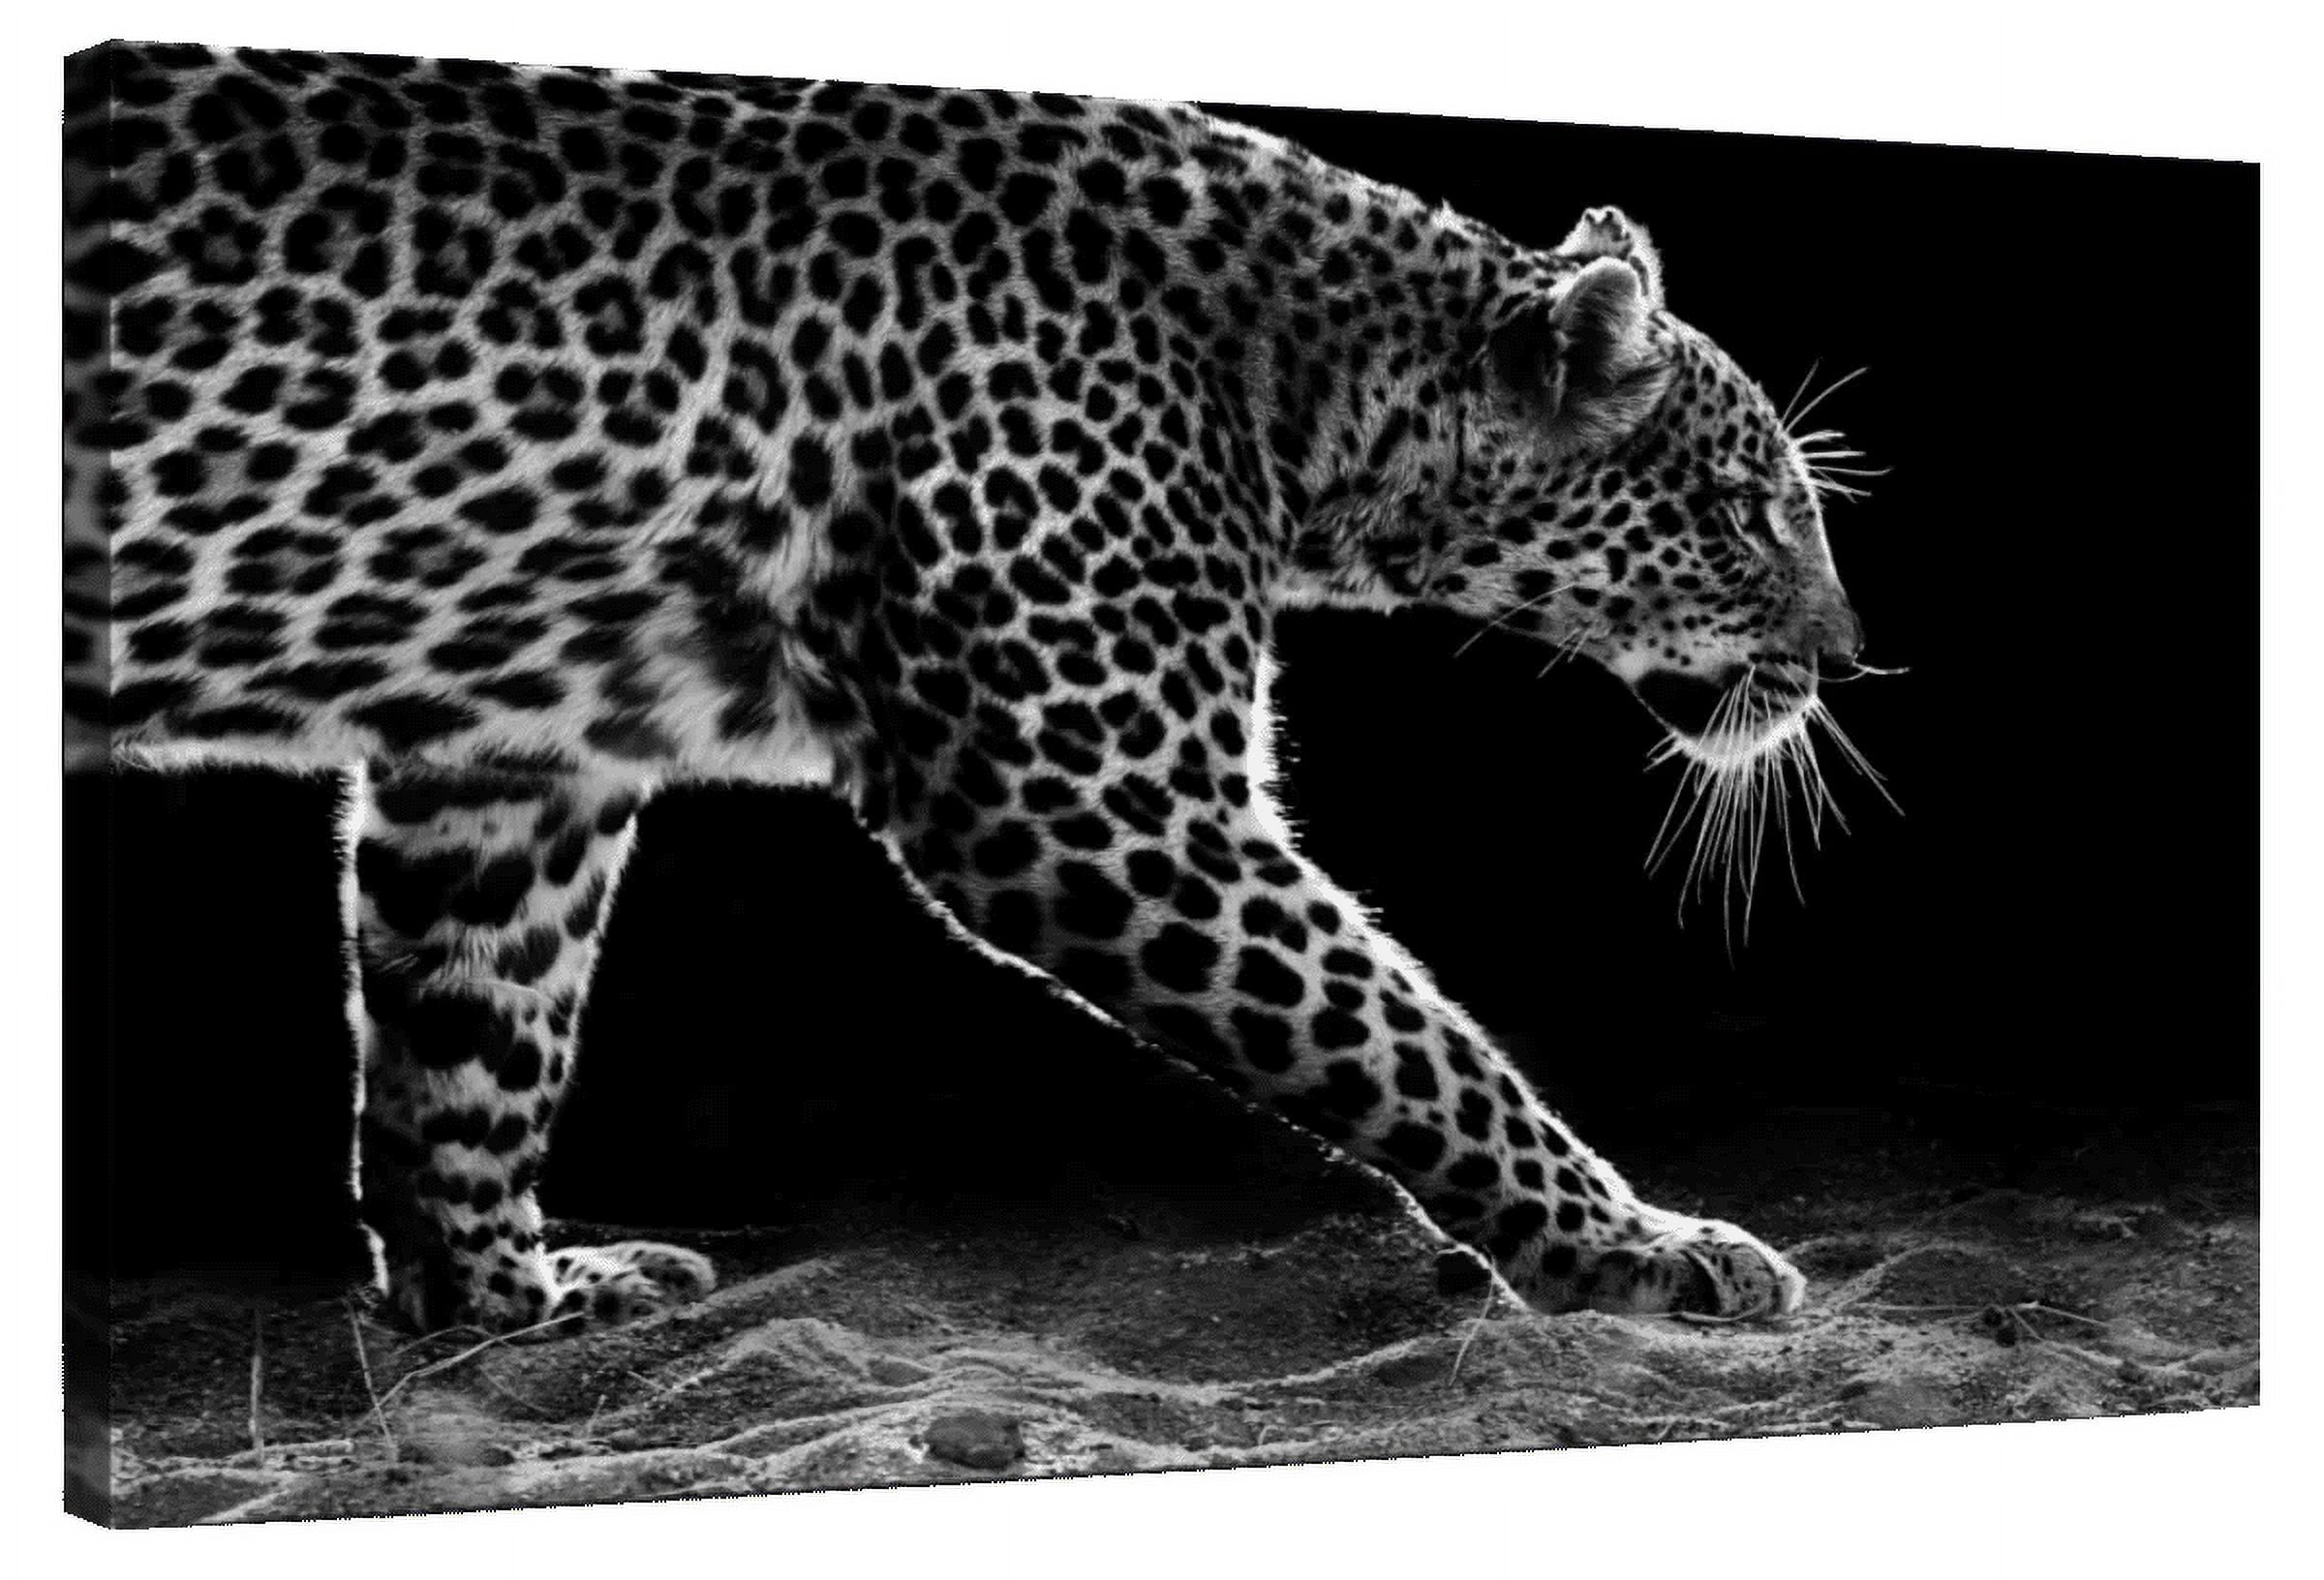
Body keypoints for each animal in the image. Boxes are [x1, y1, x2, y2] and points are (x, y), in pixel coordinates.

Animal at [64, 42, 1874, 1337]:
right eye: (1752, 511)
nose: (1847, 658)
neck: (1313, 388)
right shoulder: (1094, 795)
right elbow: (1413, 1044)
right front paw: (1636, 1249)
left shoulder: (511, 754)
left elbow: (470, 1028)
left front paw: (501, 1298)